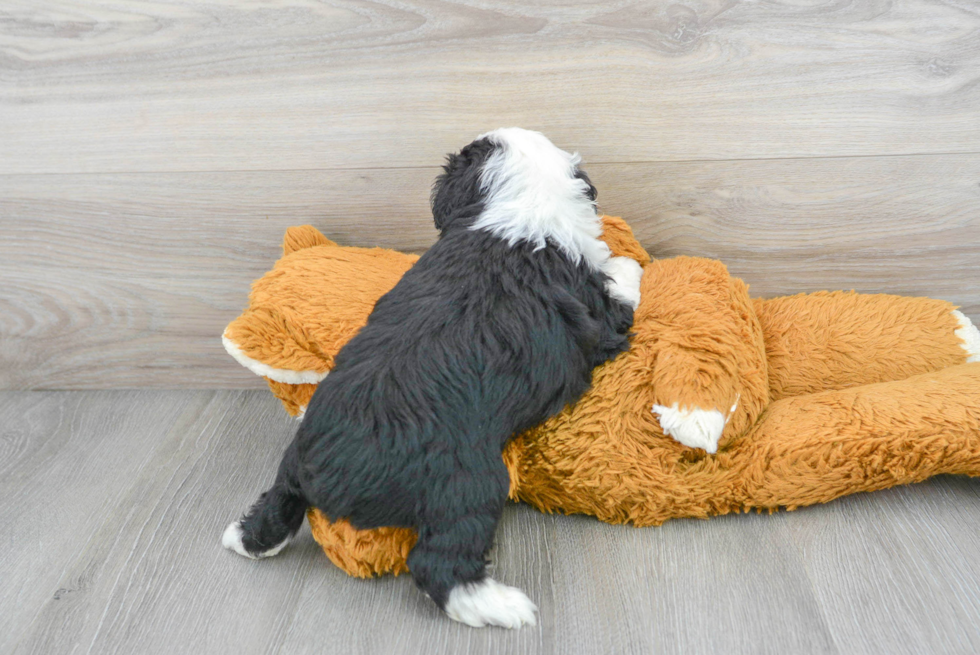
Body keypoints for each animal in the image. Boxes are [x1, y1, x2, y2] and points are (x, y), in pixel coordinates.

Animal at [222, 129, 644, 632]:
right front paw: (628, 262)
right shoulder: (602, 315)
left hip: (291, 467)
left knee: (275, 505)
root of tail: (325, 470)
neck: (519, 211)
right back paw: (503, 606)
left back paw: (242, 538)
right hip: (470, 485)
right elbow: (624, 278)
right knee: (439, 564)